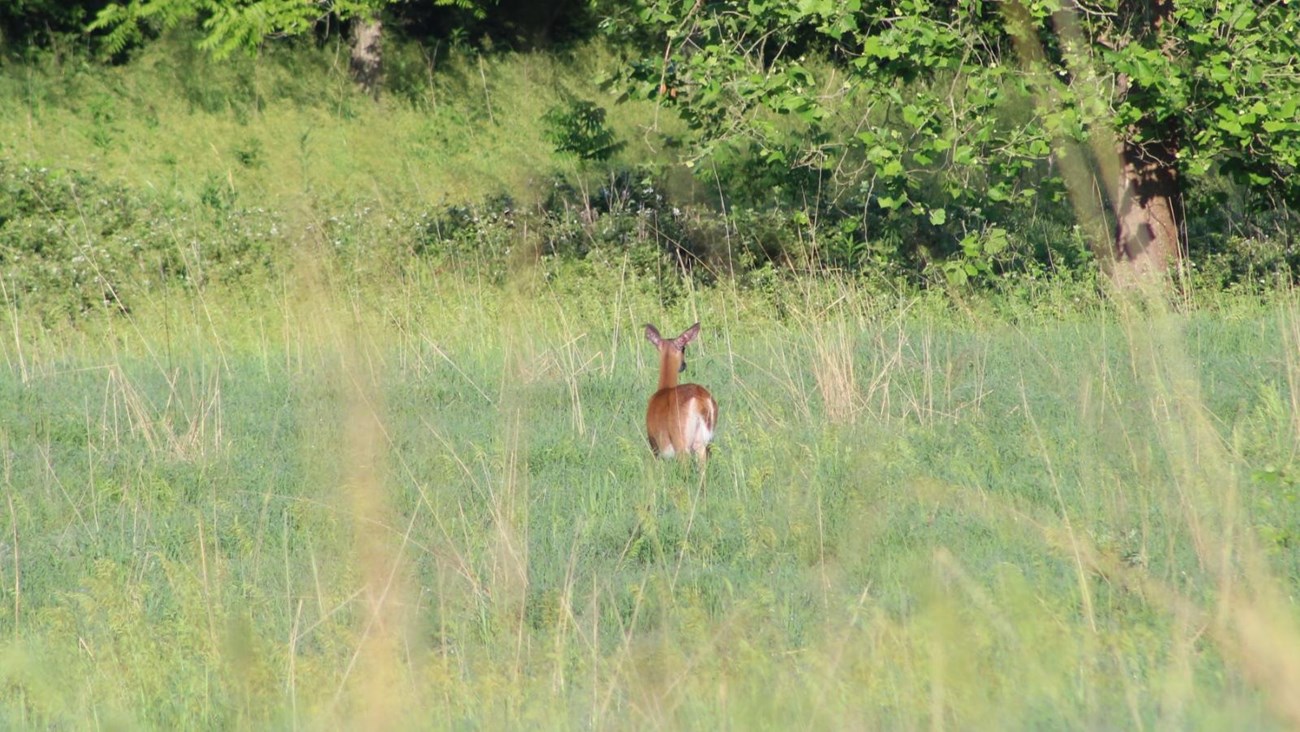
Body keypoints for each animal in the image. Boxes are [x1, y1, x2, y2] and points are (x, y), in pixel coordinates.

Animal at [644, 322, 718, 461]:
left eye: (683, 348)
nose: (683, 365)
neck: (663, 389)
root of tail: (700, 400)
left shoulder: (655, 445)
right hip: (703, 442)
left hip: (681, 441)